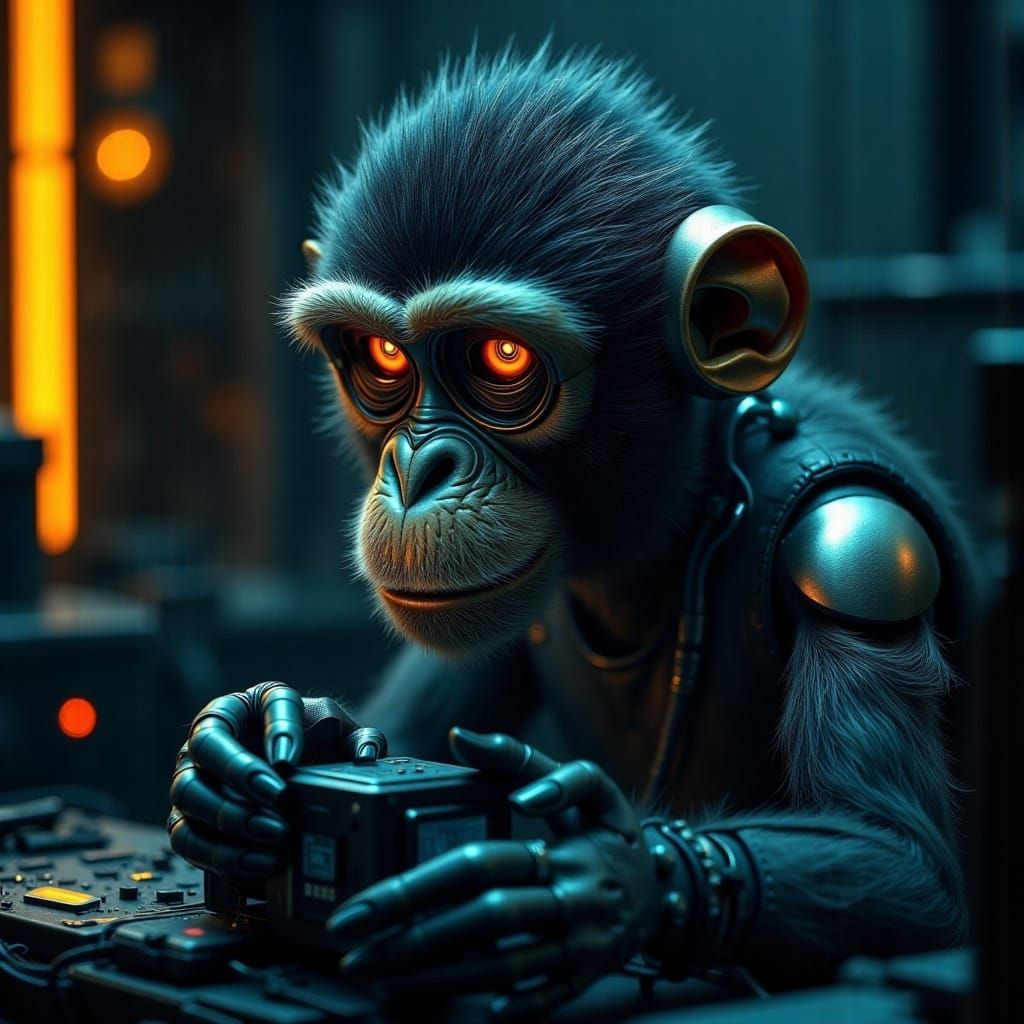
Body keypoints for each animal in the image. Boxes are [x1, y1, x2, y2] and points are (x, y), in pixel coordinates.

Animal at [166, 44, 977, 1015]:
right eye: (386, 356)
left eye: (503, 356)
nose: (416, 470)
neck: (676, 523)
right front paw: (258, 740)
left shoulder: (853, 541)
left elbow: (906, 866)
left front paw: (594, 876)